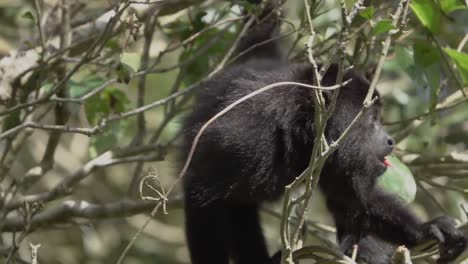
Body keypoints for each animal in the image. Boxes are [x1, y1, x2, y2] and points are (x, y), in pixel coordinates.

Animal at [179, 1, 464, 262]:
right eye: (372, 120)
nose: (390, 140)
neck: (299, 130)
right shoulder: (242, 137)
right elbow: (200, 195)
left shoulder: (331, 156)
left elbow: (355, 201)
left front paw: (427, 229)